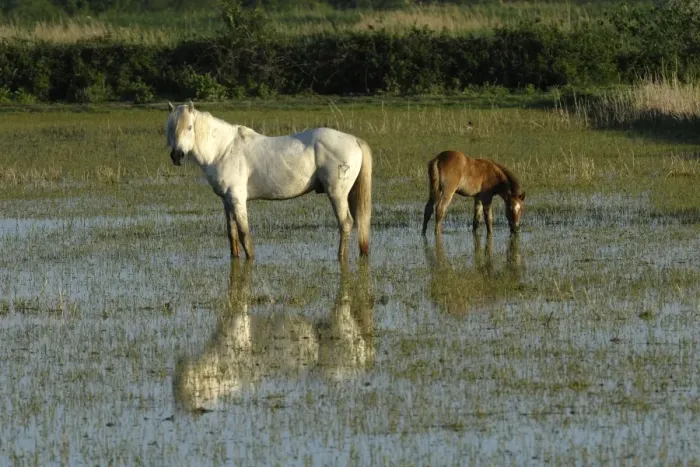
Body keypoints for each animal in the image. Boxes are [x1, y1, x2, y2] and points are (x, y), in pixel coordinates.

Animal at [165, 101, 372, 261]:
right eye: (171, 128)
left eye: (189, 127)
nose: (177, 156)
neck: (224, 150)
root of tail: (354, 140)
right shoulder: (227, 200)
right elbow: (232, 234)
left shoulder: (237, 199)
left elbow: (244, 234)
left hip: (337, 194)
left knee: (345, 223)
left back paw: (340, 257)